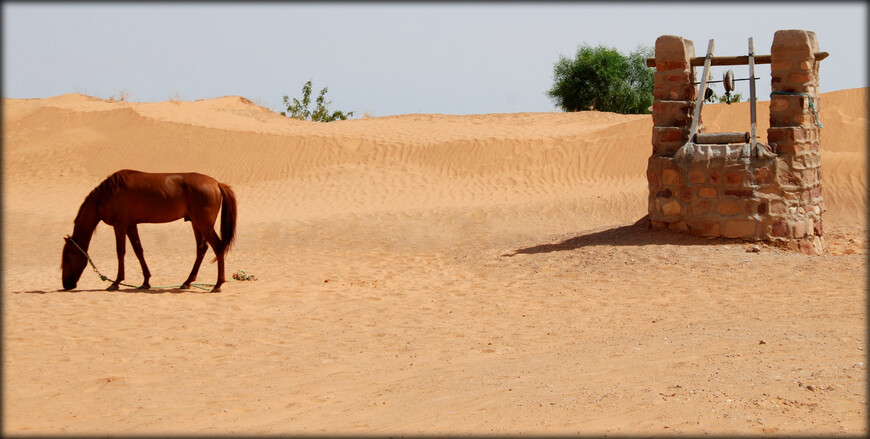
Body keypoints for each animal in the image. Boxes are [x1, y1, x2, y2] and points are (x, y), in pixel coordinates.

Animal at [60, 170, 238, 294]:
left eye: (67, 258)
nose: (66, 285)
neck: (107, 195)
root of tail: (216, 184)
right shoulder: (131, 225)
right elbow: (138, 250)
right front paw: (145, 282)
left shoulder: (120, 225)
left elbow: (120, 252)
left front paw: (116, 282)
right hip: (196, 223)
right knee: (201, 249)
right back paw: (187, 282)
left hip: (204, 224)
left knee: (218, 247)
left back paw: (217, 285)